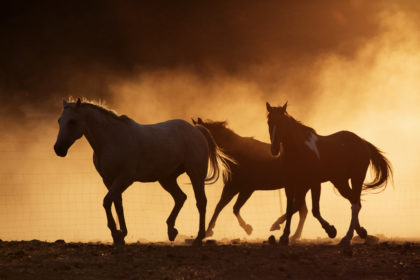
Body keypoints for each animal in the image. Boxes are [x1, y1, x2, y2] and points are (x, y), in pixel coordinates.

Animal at [53, 98, 231, 245]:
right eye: (60, 121)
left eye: (72, 121)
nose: (58, 149)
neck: (111, 140)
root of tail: (196, 129)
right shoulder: (109, 180)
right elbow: (117, 204)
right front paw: (122, 234)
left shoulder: (124, 179)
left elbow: (106, 201)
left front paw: (116, 233)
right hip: (167, 179)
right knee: (180, 197)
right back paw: (171, 230)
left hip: (195, 174)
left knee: (200, 202)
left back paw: (199, 237)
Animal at [193, 117, 334, 241]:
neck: (237, 154)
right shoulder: (234, 187)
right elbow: (222, 207)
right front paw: (209, 231)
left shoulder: (243, 189)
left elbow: (232, 207)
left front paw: (247, 228)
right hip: (300, 187)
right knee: (301, 210)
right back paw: (294, 235)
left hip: (302, 186)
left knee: (299, 209)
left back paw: (282, 228)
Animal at [268, 101, 392, 245]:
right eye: (269, 122)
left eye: (282, 123)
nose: (274, 149)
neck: (299, 150)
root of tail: (362, 141)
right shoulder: (293, 184)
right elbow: (291, 208)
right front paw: (283, 234)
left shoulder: (313, 184)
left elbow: (313, 210)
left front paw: (331, 230)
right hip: (340, 182)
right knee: (354, 202)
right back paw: (361, 231)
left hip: (356, 178)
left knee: (355, 204)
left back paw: (347, 237)